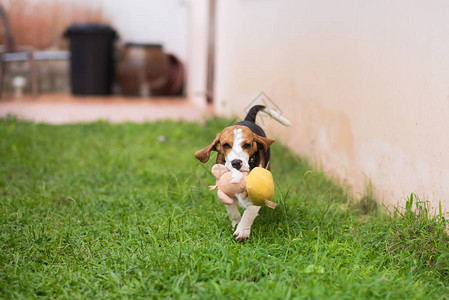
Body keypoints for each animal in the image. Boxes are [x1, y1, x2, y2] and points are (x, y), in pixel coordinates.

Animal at [194, 105, 288, 241]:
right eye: (225, 145)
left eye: (247, 145)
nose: (236, 163)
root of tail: (247, 120)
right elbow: (232, 210)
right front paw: (236, 223)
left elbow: (250, 211)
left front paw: (242, 231)